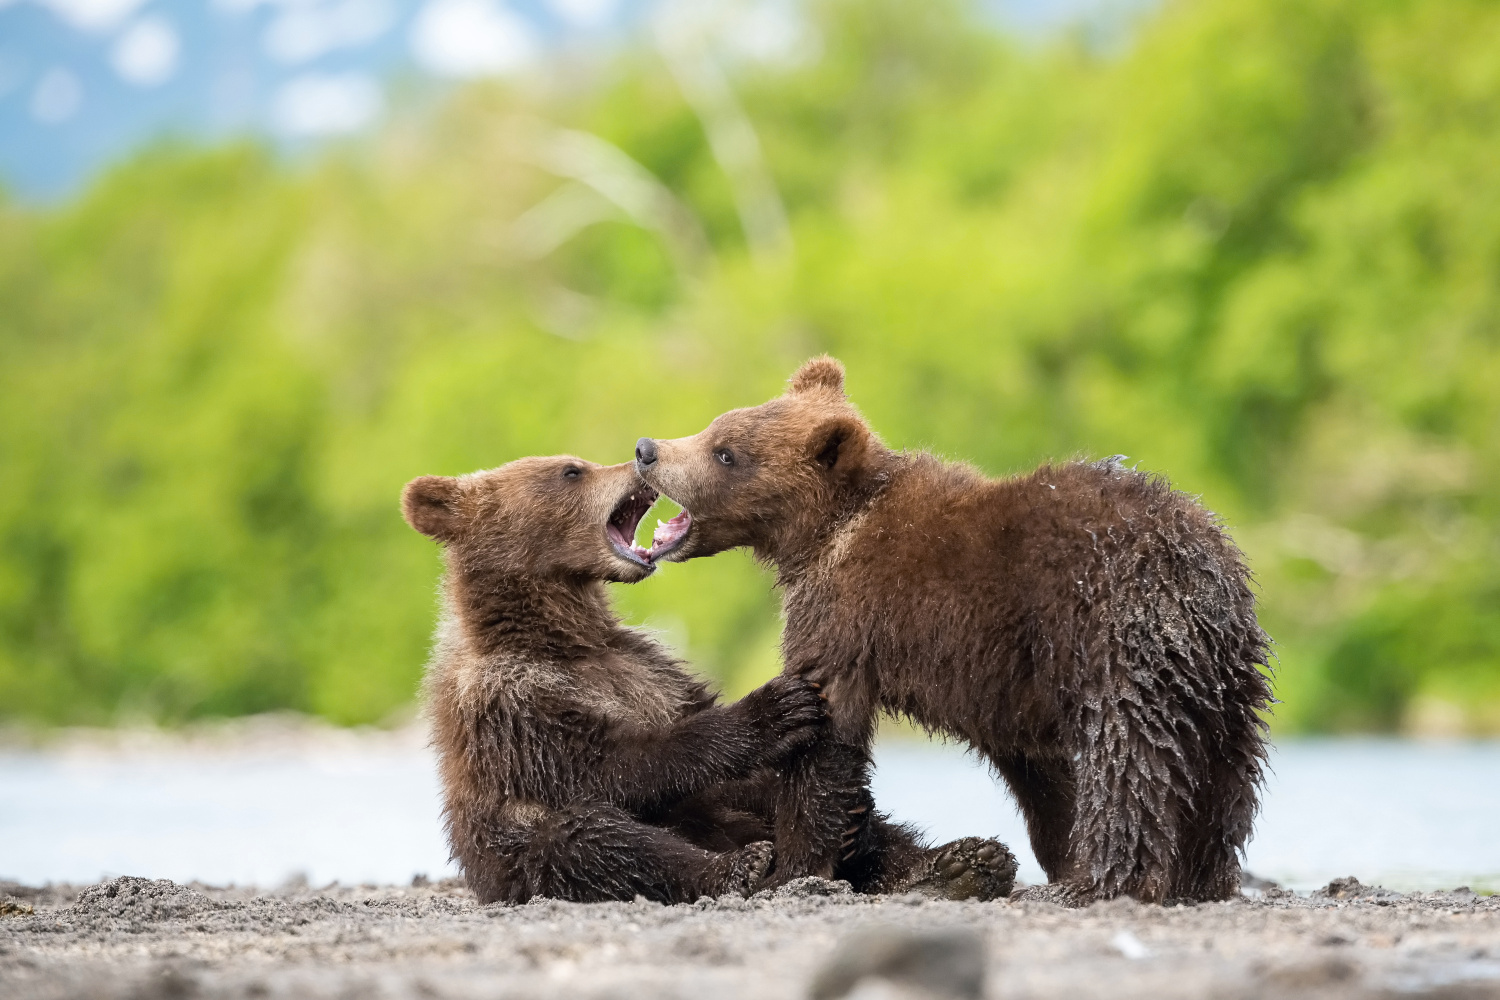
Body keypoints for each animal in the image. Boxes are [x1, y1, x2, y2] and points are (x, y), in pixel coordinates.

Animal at [399, 455, 1020, 905]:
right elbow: (609, 766)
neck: (563, 638)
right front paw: (774, 707)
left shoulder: (648, 667)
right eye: (570, 470)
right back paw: (736, 868)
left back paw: (954, 863)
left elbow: (696, 725)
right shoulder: (511, 704)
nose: (636, 461)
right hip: (524, 856)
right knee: (595, 842)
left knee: (841, 819)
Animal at [633, 361, 1278, 905]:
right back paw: (1202, 876)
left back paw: (1109, 880)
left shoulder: (848, 615)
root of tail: (1194, 565)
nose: (647, 450)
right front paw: (1057, 852)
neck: (823, 533)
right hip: (1225, 670)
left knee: (1126, 757)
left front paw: (790, 869)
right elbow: (1040, 772)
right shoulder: (1007, 686)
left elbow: (827, 734)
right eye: (715, 427)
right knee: (1224, 770)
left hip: (1111, 637)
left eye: (725, 453)